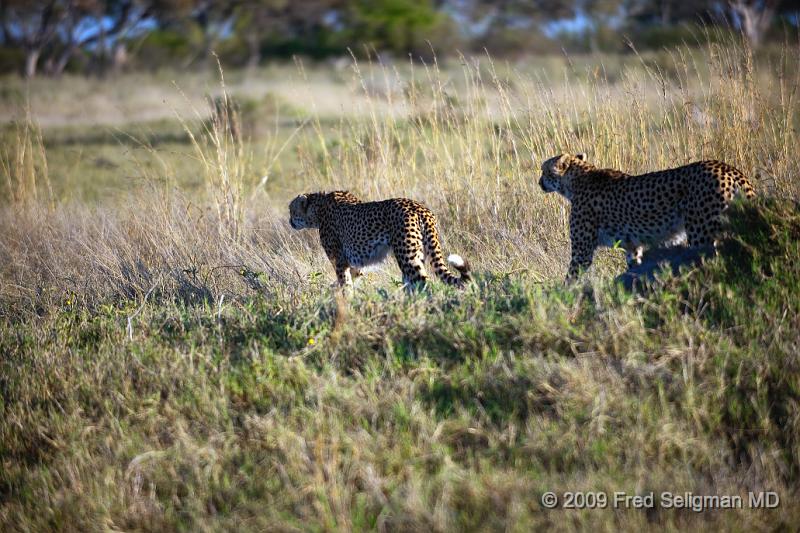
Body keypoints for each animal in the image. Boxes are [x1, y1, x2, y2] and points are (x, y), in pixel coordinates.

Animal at [290, 191, 468, 288]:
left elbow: (345, 284)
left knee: (423, 284)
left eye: (291, 210)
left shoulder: (340, 260)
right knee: (412, 284)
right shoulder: (354, 263)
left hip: (407, 256)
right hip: (416, 255)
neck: (318, 208)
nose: (290, 221)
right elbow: (352, 276)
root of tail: (420, 208)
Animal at [536, 152, 756, 280]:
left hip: (701, 235)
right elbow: (635, 267)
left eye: (544, 171)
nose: (539, 182)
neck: (576, 180)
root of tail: (728, 169)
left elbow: (570, 279)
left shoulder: (582, 252)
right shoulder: (632, 247)